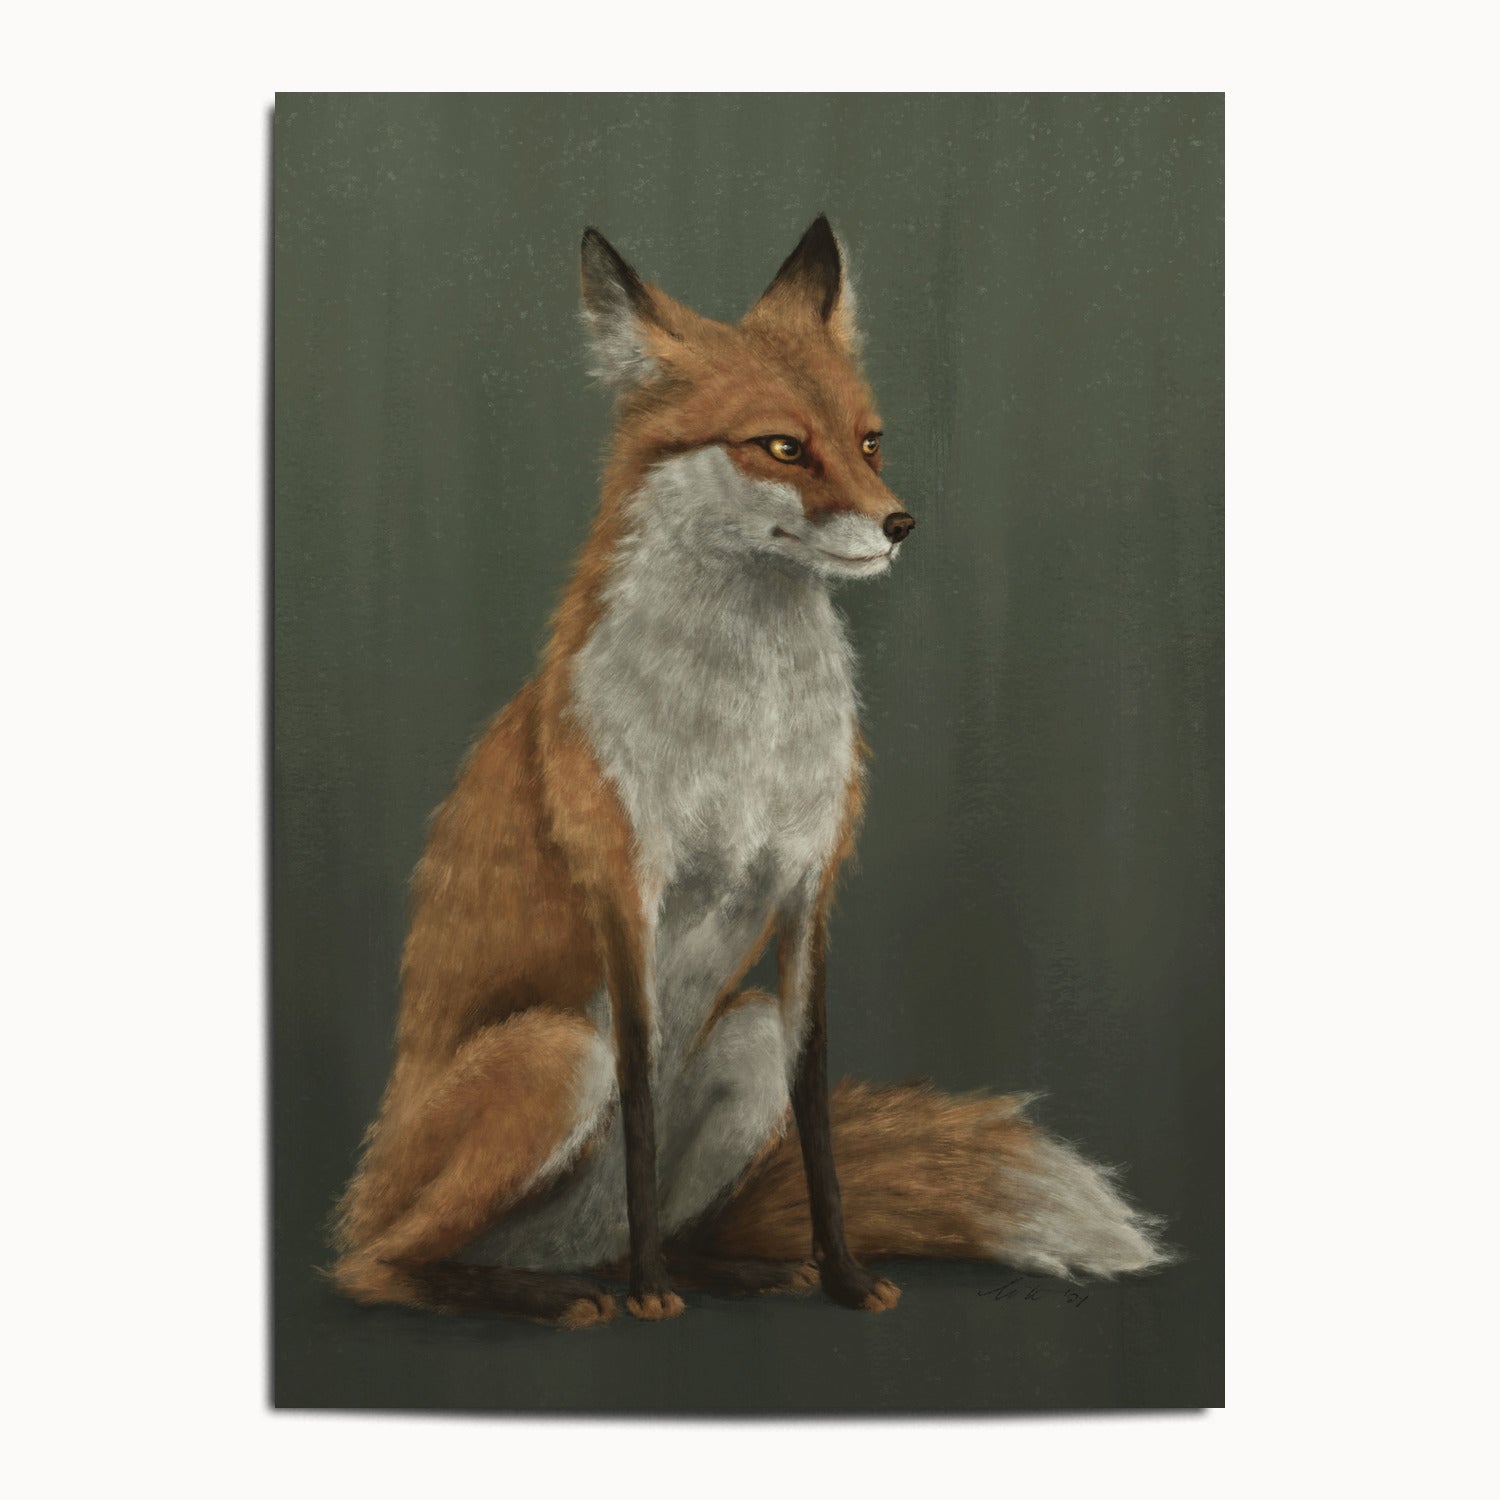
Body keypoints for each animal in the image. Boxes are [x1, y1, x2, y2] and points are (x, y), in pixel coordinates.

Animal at [329, 215, 1169, 1327]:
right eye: (781, 446)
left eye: (869, 440)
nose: (900, 524)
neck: (746, 732)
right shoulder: (626, 893)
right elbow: (641, 1104)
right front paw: (649, 1298)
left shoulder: (809, 890)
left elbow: (816, 1118)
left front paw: (844, 1277)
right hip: (556, 1055)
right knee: (379, 1265)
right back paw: (561, 1292)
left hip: (744, 1036)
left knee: (673, 1221)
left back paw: (724, 1269)